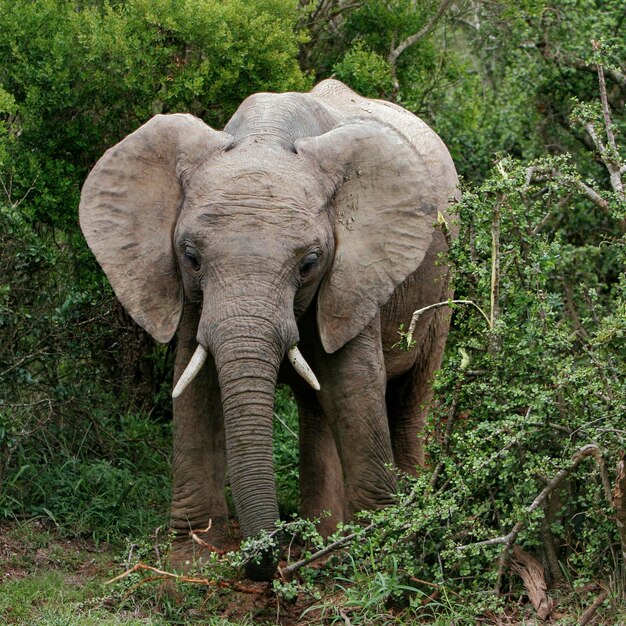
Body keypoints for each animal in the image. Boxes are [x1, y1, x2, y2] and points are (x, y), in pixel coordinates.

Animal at [78, 79, 458, 580]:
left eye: (310, 263)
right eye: (191, 256)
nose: (264, 562)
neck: (267, 134)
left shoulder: (355, 275)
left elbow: (354, 386)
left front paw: (376, 552)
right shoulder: (193, 298)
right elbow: (196, 387)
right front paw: (194, 558)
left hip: (444, 284)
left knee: (412, 397)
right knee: (316, 405)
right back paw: (322, 537)